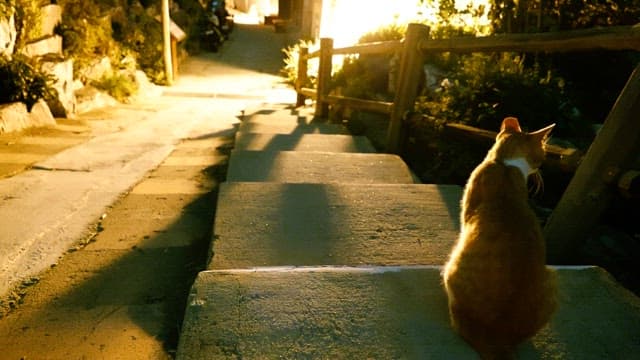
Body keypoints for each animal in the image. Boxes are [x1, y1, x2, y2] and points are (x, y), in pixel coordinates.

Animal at [442, 116, 556, 358]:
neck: (505, 164)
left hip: (453, 267)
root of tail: (498, 337)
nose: (541, 167)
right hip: (552, 280)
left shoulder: (467, 214)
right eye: (542, 154)